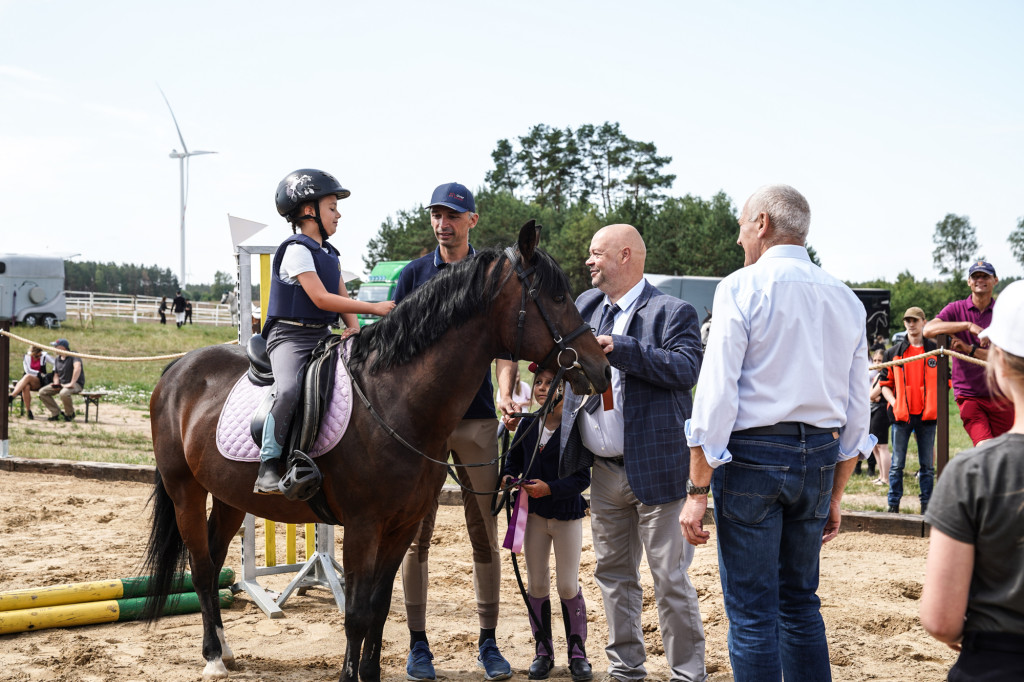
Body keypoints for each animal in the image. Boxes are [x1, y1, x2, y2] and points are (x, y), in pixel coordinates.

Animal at [141, 220, 610, 675]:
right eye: (557, 296)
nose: (601, 368)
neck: (395, 400)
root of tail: (178, 368)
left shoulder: (402, 526)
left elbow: (380, 608)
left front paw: (368, 671)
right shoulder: (363, 527)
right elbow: (357, 614)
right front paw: (351, 673)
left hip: (229, 496)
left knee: (215, 555)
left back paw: (224, 649)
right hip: (185, 490)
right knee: (202, 568)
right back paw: (213, 658)